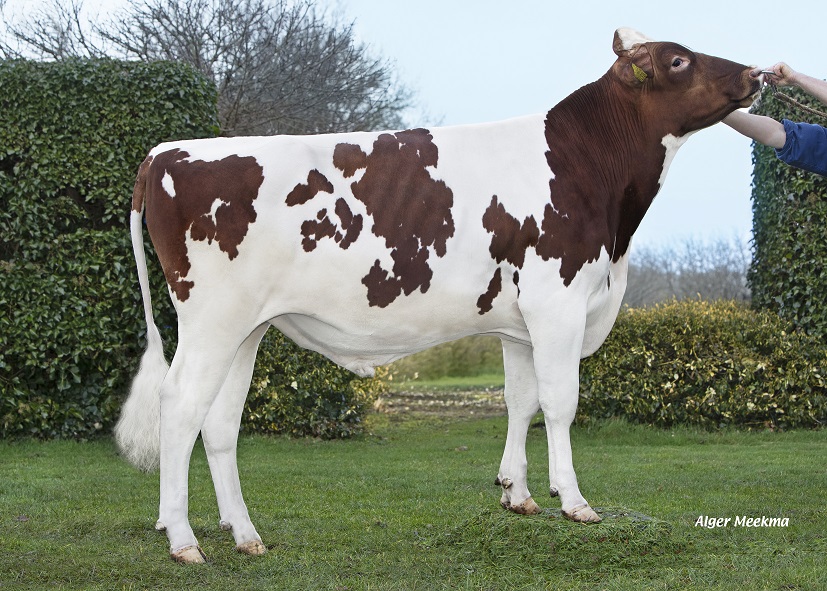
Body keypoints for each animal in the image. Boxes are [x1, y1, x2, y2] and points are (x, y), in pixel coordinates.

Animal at [116, 28, 761, 563]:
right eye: (679, 60)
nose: (757, 73)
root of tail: (165, 153)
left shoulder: (519, 323)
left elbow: (521, 401)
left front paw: (517, 493)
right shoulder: (557, 300)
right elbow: (560, 403)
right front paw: (574, 502)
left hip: (246, 327)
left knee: (220, 421)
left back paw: (245, 535)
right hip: (211, 319)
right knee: (178, 406)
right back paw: (183, 540)